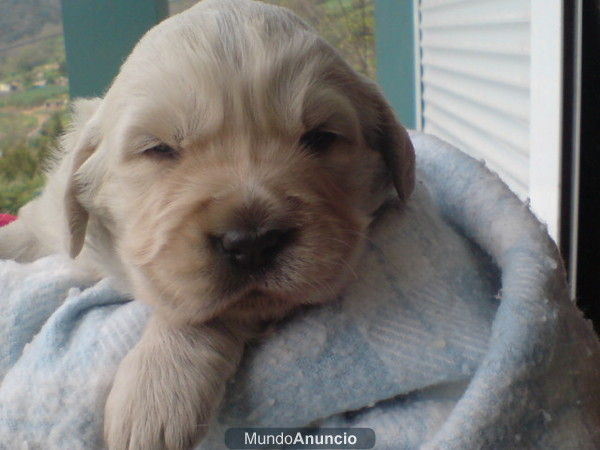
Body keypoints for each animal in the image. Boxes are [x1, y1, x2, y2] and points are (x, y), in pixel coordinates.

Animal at [0, 0, 412, 448]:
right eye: (158, 149)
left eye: (321, 137)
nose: (251, 242)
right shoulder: (53, 219)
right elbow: (28, 227)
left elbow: (207, 309)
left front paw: (157, 387)